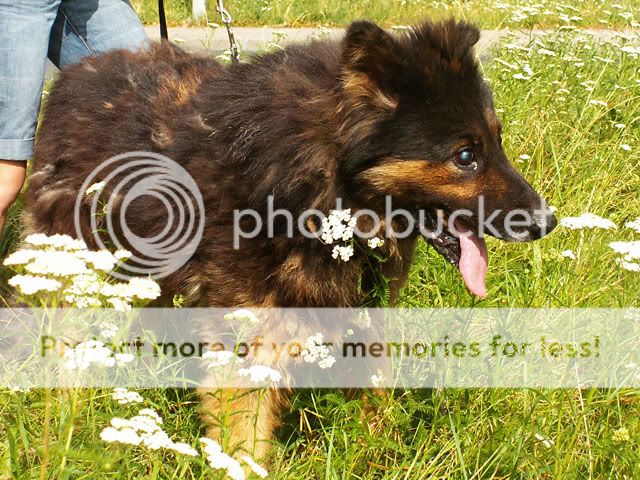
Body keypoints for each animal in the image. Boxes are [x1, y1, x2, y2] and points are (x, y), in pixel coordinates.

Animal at [24, 18, 556, 459]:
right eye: (465, 155)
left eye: (497, 141)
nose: (547, 222)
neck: (313, 183)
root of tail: (74, 76)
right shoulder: (247, 338)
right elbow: (244, 435)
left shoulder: (359, 316)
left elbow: (376, 396)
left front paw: (383, 453)